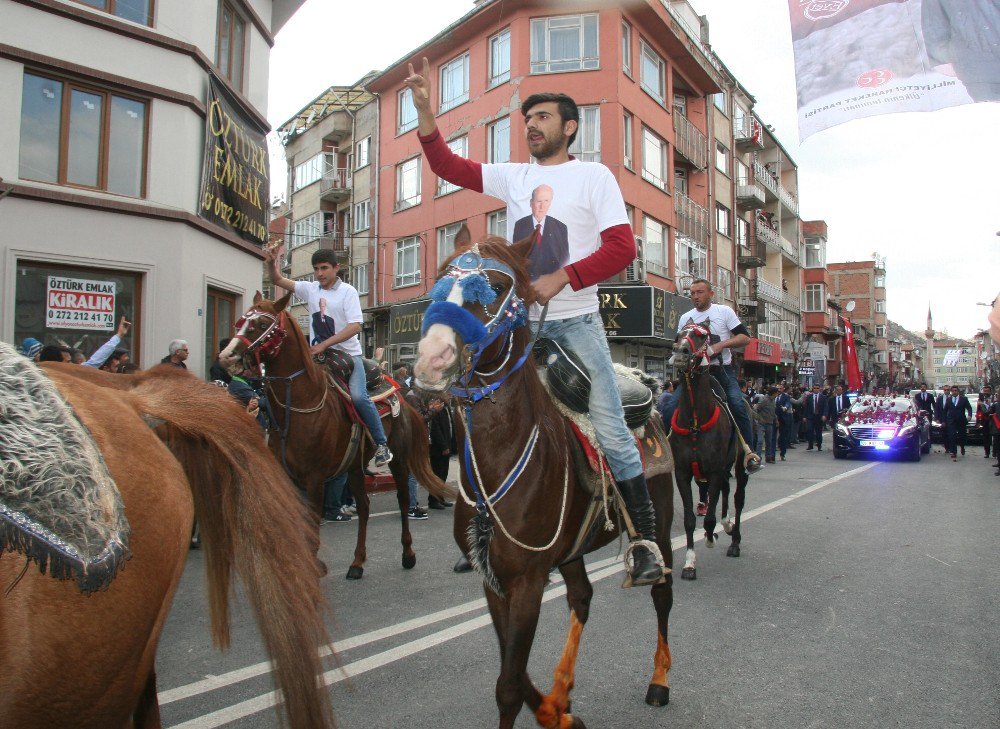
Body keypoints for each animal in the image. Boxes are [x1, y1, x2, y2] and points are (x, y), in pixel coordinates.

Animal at [222, 292, 450, 576]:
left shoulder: (314, 477)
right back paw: (357, 563)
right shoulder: (290, 475)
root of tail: (403, 400)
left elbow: (311, 520)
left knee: (403, 498)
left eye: (261, 325)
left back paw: (408, 554)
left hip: (398, 460)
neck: (300, 403)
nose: (227, 356)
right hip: (354, 466)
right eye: (240, 322)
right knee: (364, 506)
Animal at [410, 233, 676, 728]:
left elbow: (509, 685)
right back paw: (563, 691)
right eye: (439, 282)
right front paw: (556, 712)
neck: (501, 459)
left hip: (664, 528)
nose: (431, 361)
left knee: (662, 594)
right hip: (571, 552)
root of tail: (645, 383)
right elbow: (512, 670)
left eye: (493, 288)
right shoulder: (495, 580)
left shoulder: (528, 581)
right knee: (582, 597)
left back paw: (659, 681)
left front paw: (551, 709)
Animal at [668, 322, 748, 576]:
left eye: (701, 336)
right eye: (679, 335)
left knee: (738, 499)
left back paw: (734, 541)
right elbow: (690, 520)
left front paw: (711, 537)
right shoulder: (683, 473)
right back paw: (727, 525)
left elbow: (709, 518)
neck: (695, 420)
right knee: (725, 492)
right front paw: (689, 563)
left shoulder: (713, 471)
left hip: (739, 468)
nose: (680, 353)